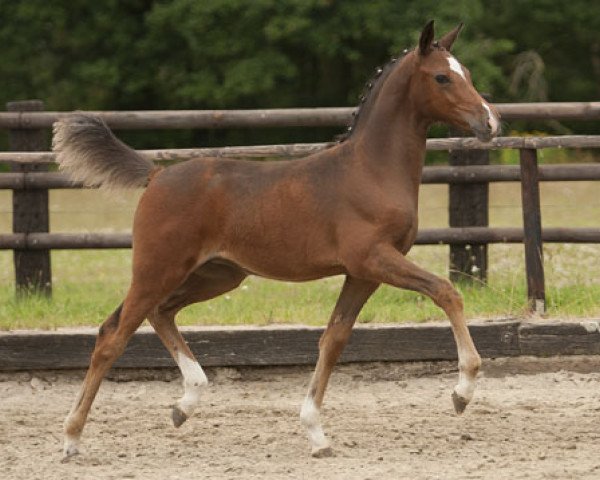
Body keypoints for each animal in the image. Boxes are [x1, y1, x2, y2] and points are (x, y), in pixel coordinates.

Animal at [54, 20, 500, 460]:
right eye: (442, 77)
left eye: (468, 73)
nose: (491, 123)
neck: (371, 170)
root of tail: (157, 175)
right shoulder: (373, 258)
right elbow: (446, 291)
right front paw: (462, 392)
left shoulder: (362, 273)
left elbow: (334, 338)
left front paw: (316, 433)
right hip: (157, 269)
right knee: (113, 335)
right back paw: (72, 438)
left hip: (216, 275)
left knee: (159, 313)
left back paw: (186, 403)